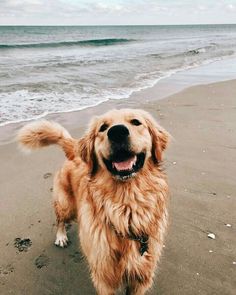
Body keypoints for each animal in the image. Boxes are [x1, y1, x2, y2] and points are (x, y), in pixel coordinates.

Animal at [18, 109, 170, 295]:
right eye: (103, 127)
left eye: (136, 122)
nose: (117, 132)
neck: (125, 206)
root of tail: (74, 150)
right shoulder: (103, 277)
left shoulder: (141, 278)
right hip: (66, 204)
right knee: (60, 219)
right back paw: (61, 236)